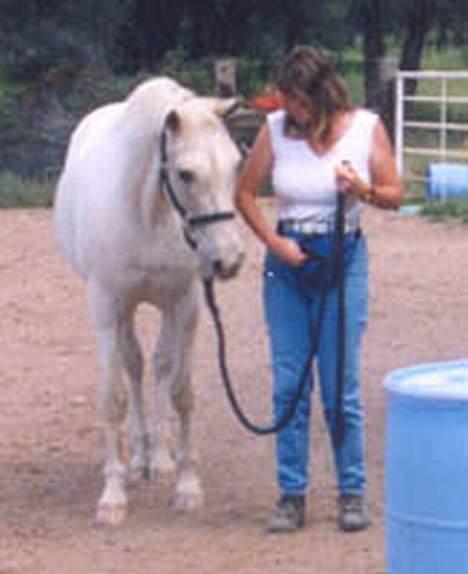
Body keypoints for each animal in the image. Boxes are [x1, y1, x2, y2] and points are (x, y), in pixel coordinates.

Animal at [53, 76, 245, 528]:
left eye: (236, 165)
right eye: (186, 173)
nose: (228, 260)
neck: (147, 212)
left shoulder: (186, 303)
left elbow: (181, 390)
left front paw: (188, 486)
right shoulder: (106, 306)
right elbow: (114, 396)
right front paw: (112, 496)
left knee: (157, 366)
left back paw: (157, 457)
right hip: (126, 310)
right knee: (134, 365)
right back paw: (138, 458)